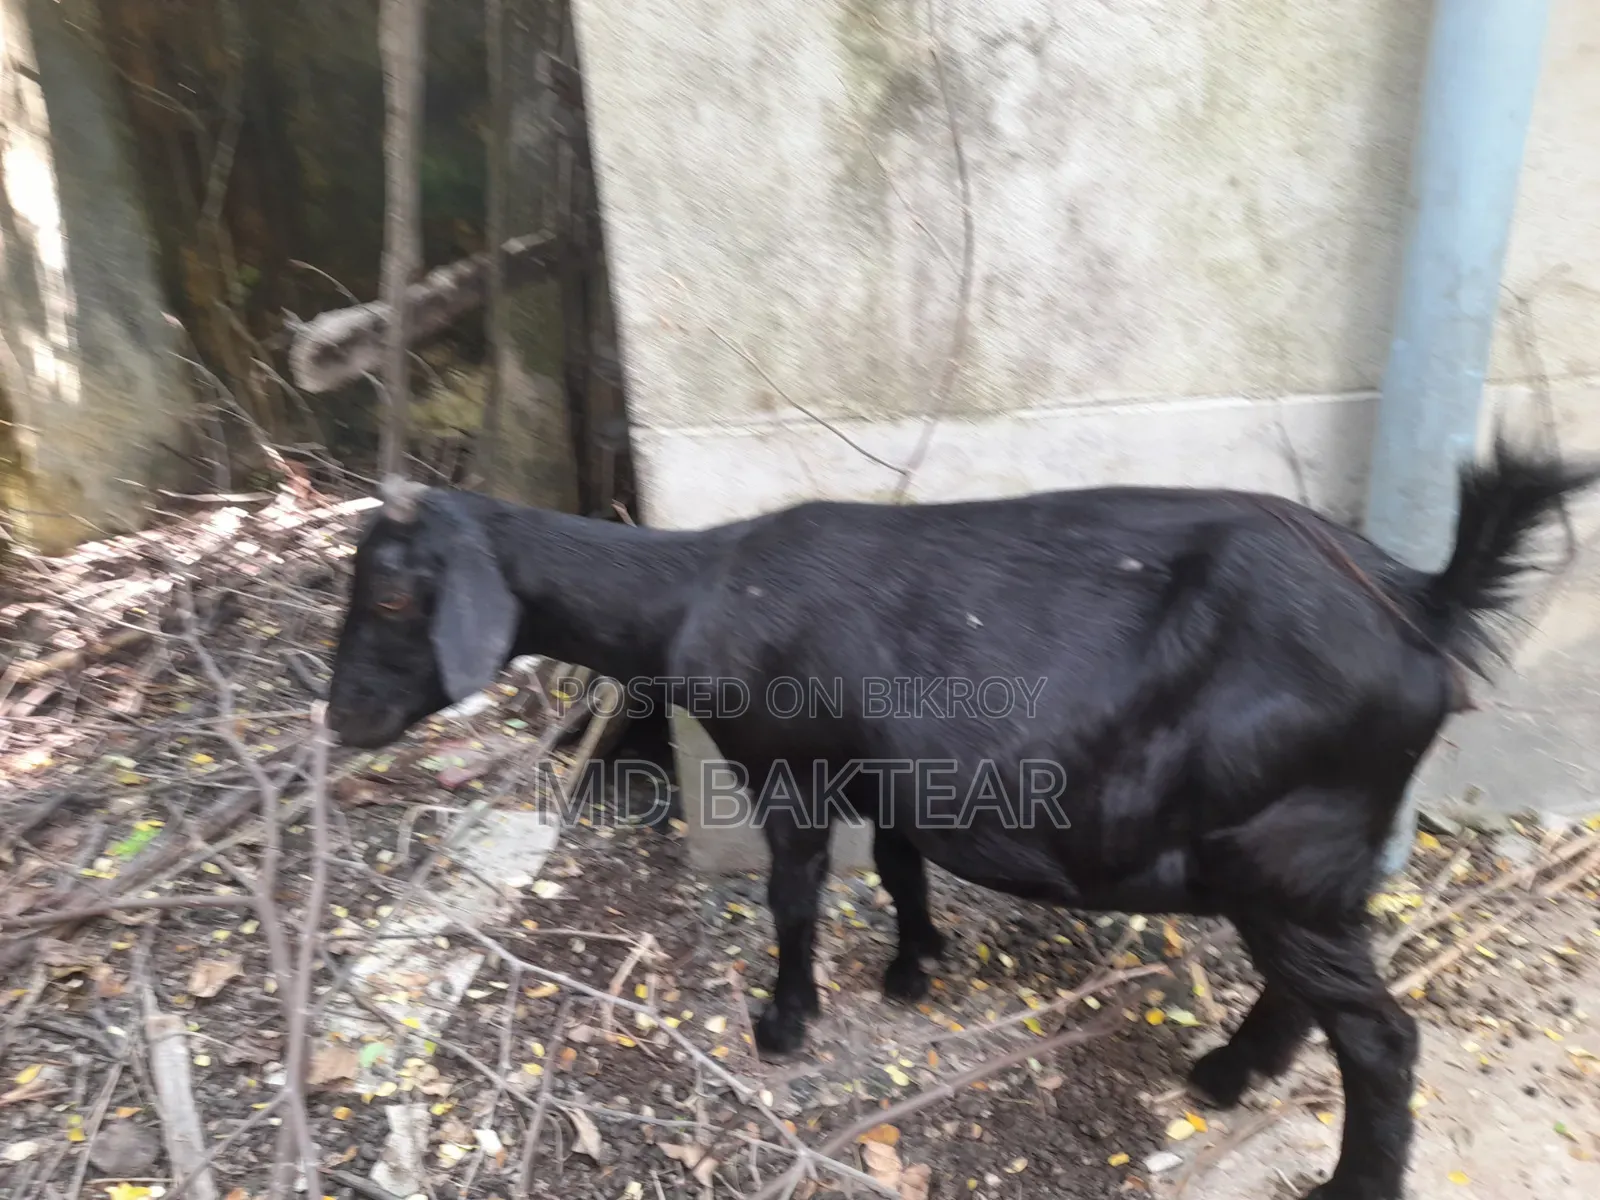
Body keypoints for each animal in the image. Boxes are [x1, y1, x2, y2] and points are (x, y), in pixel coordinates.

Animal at [324, 440, 1599, 1200]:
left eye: (390, 591)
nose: (342, 718)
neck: (700, 591)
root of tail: (1422, 599)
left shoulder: (790, 770)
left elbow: (795, 895)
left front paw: (782, 1024)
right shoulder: (893, 771)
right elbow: (897, 865)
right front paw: (913, 967)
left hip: (1283, 847)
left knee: (1380, 1039)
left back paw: (1343, 1179)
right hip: (1303, 860)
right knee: (1314, 998)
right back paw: (1226, 1076)